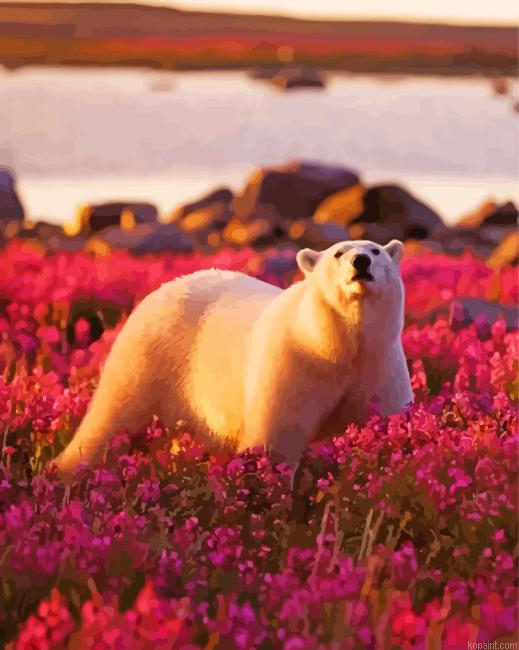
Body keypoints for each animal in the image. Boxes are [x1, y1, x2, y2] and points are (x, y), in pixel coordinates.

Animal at [53, 239, 413, 483]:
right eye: (338, 253)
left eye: (376, 251)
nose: (361, 261)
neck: (334, 345)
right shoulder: (293, 365)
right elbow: (274, 441)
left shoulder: (380, 367)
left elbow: (386, 427)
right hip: (147, 356)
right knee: (110, 421)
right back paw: (66, 472)